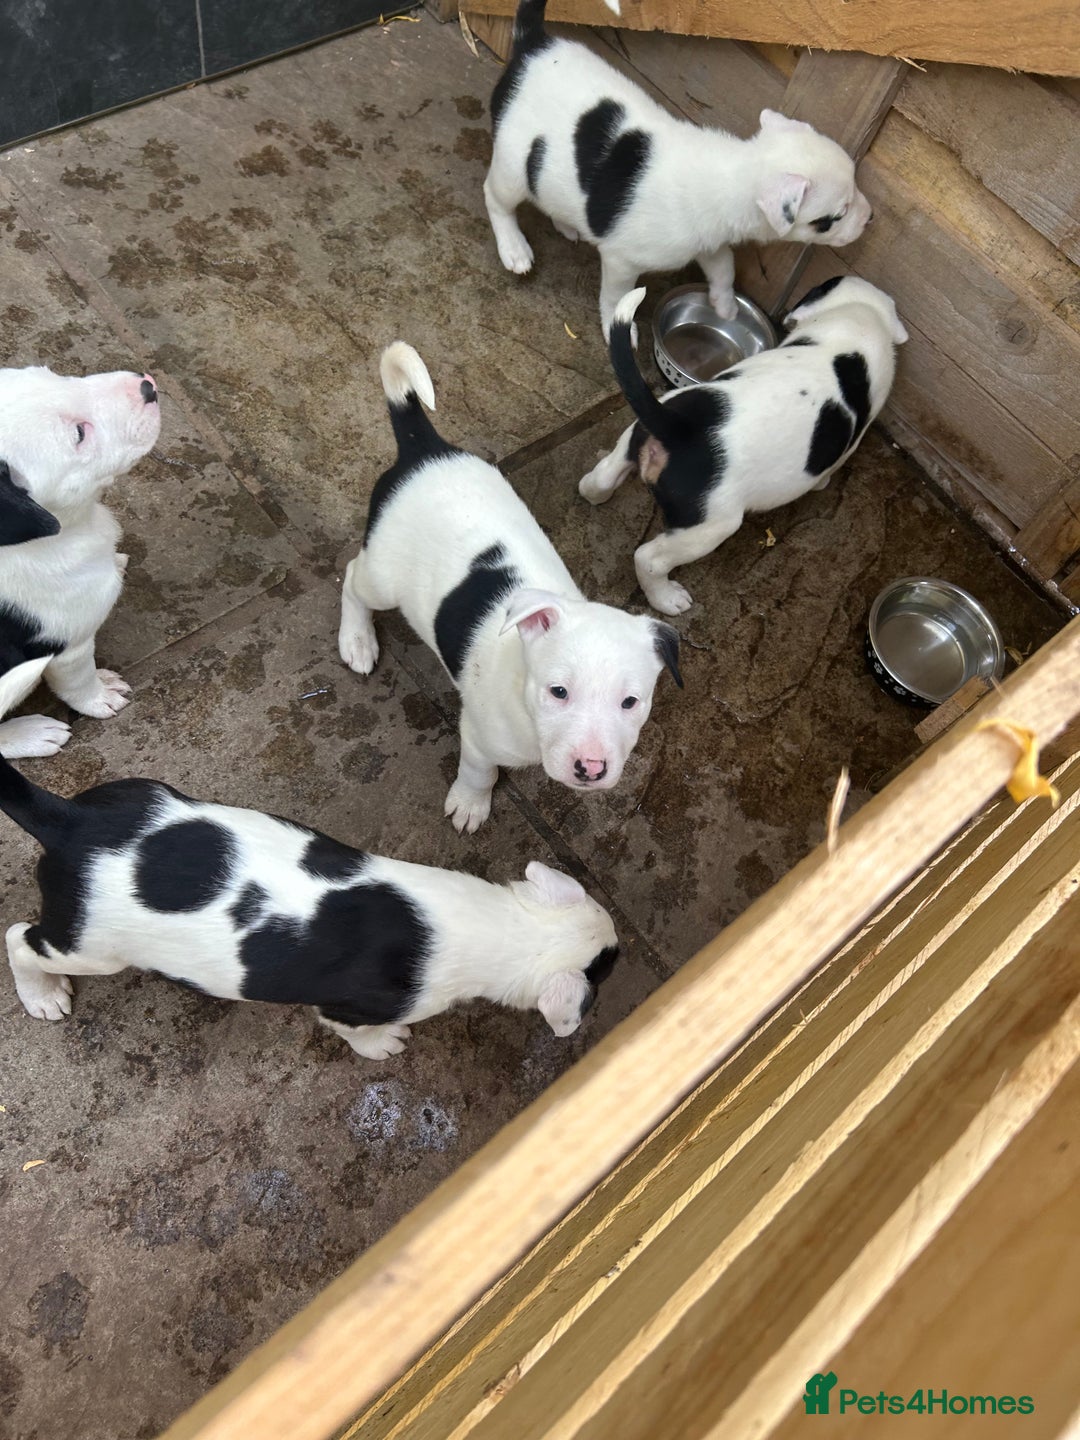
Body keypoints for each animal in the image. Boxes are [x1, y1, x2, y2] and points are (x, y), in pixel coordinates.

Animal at [0, 364, 161, 759]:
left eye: (49, 372)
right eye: (79, 434)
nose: (147, 386)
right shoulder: (70, 647)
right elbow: (79, 680)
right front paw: (100, 697)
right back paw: (32, 734)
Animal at [0, 752, 619, 1056]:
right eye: (606, 971)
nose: (619, 951)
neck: (495, 926)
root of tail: (69, 822)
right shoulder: (350, 1009)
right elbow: (358, 1035)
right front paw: (384, 1047)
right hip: (90, 945)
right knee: (20, 940)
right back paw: (43, 997)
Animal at [338, 342, 682, 833]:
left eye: (630, 702)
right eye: (559, 692)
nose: (591, 769)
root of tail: (425, 450)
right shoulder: (479, 737)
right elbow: (478, 770)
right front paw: (471, 803)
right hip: (382, 576)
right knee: (351, 578)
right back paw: (357, 641)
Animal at [484, 0, 872, 337]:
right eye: (835, 216)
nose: (870, 218)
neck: (734, 170)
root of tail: (533, 45)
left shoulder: (711, 241)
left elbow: (724, 267)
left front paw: (724, 305)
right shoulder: (621, 261)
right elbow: (616, 296)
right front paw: (616, 327)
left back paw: (566, 222)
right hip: (512, 165)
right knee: (496, 197)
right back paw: (514, 248)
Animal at [578, 277, 908, 614]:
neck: (860, 314)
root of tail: (677, 428)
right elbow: (833, 465)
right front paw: (822, 483)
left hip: (633, 439)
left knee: (602, 476)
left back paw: (595, 494)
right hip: (709, 526)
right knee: (649, 558)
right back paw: (667, 599)